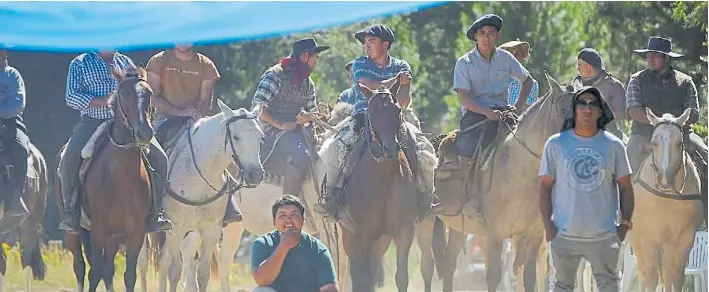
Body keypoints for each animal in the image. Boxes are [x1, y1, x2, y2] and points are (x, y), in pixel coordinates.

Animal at [140, 100, 266, 292]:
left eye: (260, 137)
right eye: (236, 137)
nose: (256, 175)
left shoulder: (211, 230)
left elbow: (203, 274)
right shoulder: (177, 228)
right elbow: (175, 271)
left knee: (164, 260)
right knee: (143, 262)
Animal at [336, 81, 418, 292]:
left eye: (397, 110)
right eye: (372, 112)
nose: (390, 148)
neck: (383, 178)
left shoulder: (404, 231)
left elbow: (401, 277)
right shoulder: (364, 234)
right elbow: (363, 279)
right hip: (350, 236)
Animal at [426, 73, 576, 292]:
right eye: (564, 110)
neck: (520, 173)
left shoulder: (534, 235)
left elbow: (529, 278)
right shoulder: (496, 235)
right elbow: (494, 277)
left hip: (458, 228)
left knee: (449, 265)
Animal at [628, 108, 700, 292]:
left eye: (679, 143)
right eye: (654, 143)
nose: (665, 180)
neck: (667, 199)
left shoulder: (685, 238)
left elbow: (676, 277)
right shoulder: (648, 238)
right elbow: (651, 278)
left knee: (666, 272)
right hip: (636, 239)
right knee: (643, 272)